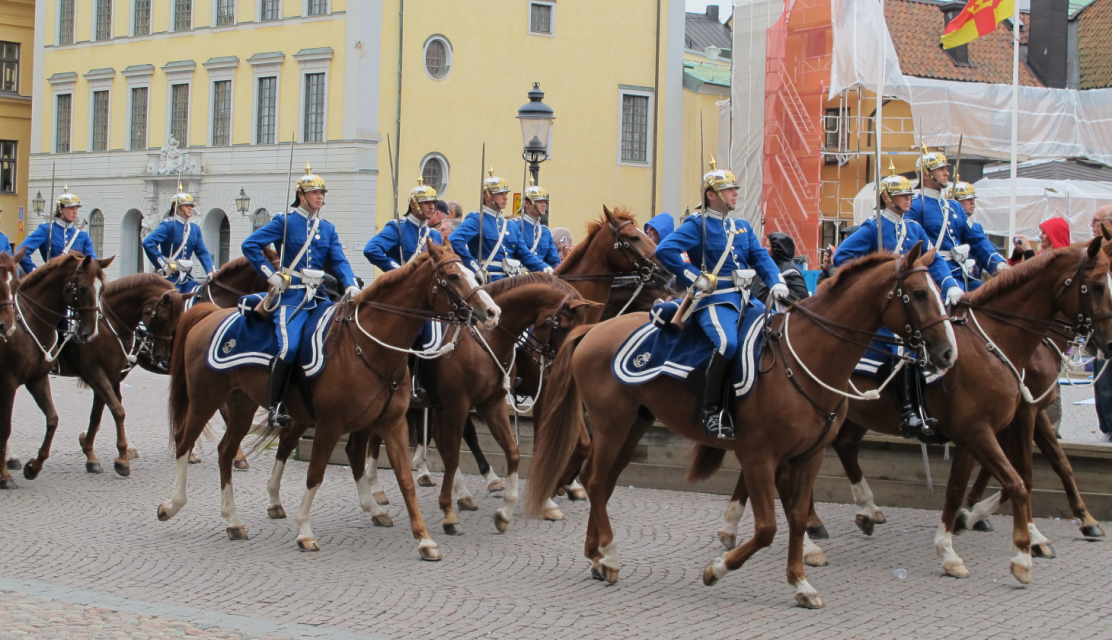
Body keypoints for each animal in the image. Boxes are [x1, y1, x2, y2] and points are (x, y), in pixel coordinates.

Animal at [0, 250, 111, 484]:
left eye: (102, 289)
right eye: (83, 288)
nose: (91, 332)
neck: (31, 324)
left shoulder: (37, 379)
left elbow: (52, 420)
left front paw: (33, 466)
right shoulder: (8, 381)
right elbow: (5, 426)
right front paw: (4, 475)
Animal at [156, 242, 495, 557]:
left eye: (471, 272)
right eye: (453, 275)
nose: (491, 312)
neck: (369, 346)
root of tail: (211, 315)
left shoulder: (393, 423)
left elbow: (405, 480)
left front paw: (424, 539)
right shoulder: (330, 424)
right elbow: (315, 474)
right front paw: (305, 530)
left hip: (241, 406)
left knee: (226, 451)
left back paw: (233, 521)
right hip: (205, 400)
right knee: (185, 442)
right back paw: (172, 504)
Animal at [524, 243, 951, 604]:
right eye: (919, 294)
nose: (947, 353)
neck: (805, 360)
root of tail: (594, 329)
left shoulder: (807, 457)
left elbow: (797, 518)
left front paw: (800, 582)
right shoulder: (759, 456)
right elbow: (767, 528)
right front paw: (717, 569)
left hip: (634, 426)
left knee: (605, 482)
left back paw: (595, 554)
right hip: (612, 424)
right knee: (596, 481)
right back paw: (609, 555)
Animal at [791, 237, 1112, 582]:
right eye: (1097, 285)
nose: (1109, 344)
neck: (994, 344)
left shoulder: (986, 430)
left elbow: (969, 485)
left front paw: (957, 536)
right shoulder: (995, 426)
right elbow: (1020, 478)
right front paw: (1021, 547)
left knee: (845, 447)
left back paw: (864, 511)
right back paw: (813, 531)